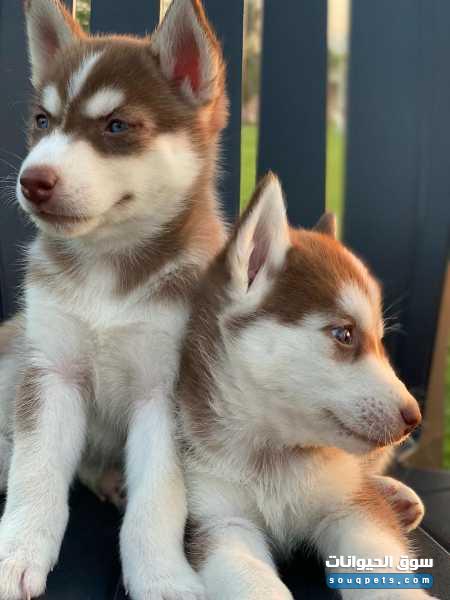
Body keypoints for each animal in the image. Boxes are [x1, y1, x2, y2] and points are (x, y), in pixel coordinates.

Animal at [0, 0, 226, 598]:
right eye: (43, 121)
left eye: (117, 126)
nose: (32, 181)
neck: (106, 275)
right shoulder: (50, 370)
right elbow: (35, 472)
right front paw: (16, 552)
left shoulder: (164, 394)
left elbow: (159, 500)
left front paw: (162, 576)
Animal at [177, 173, 434, 600]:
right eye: (345, 334)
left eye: (381, 341)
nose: (414, 417)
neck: (275, 455)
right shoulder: (220, 522)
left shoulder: (351, 509)